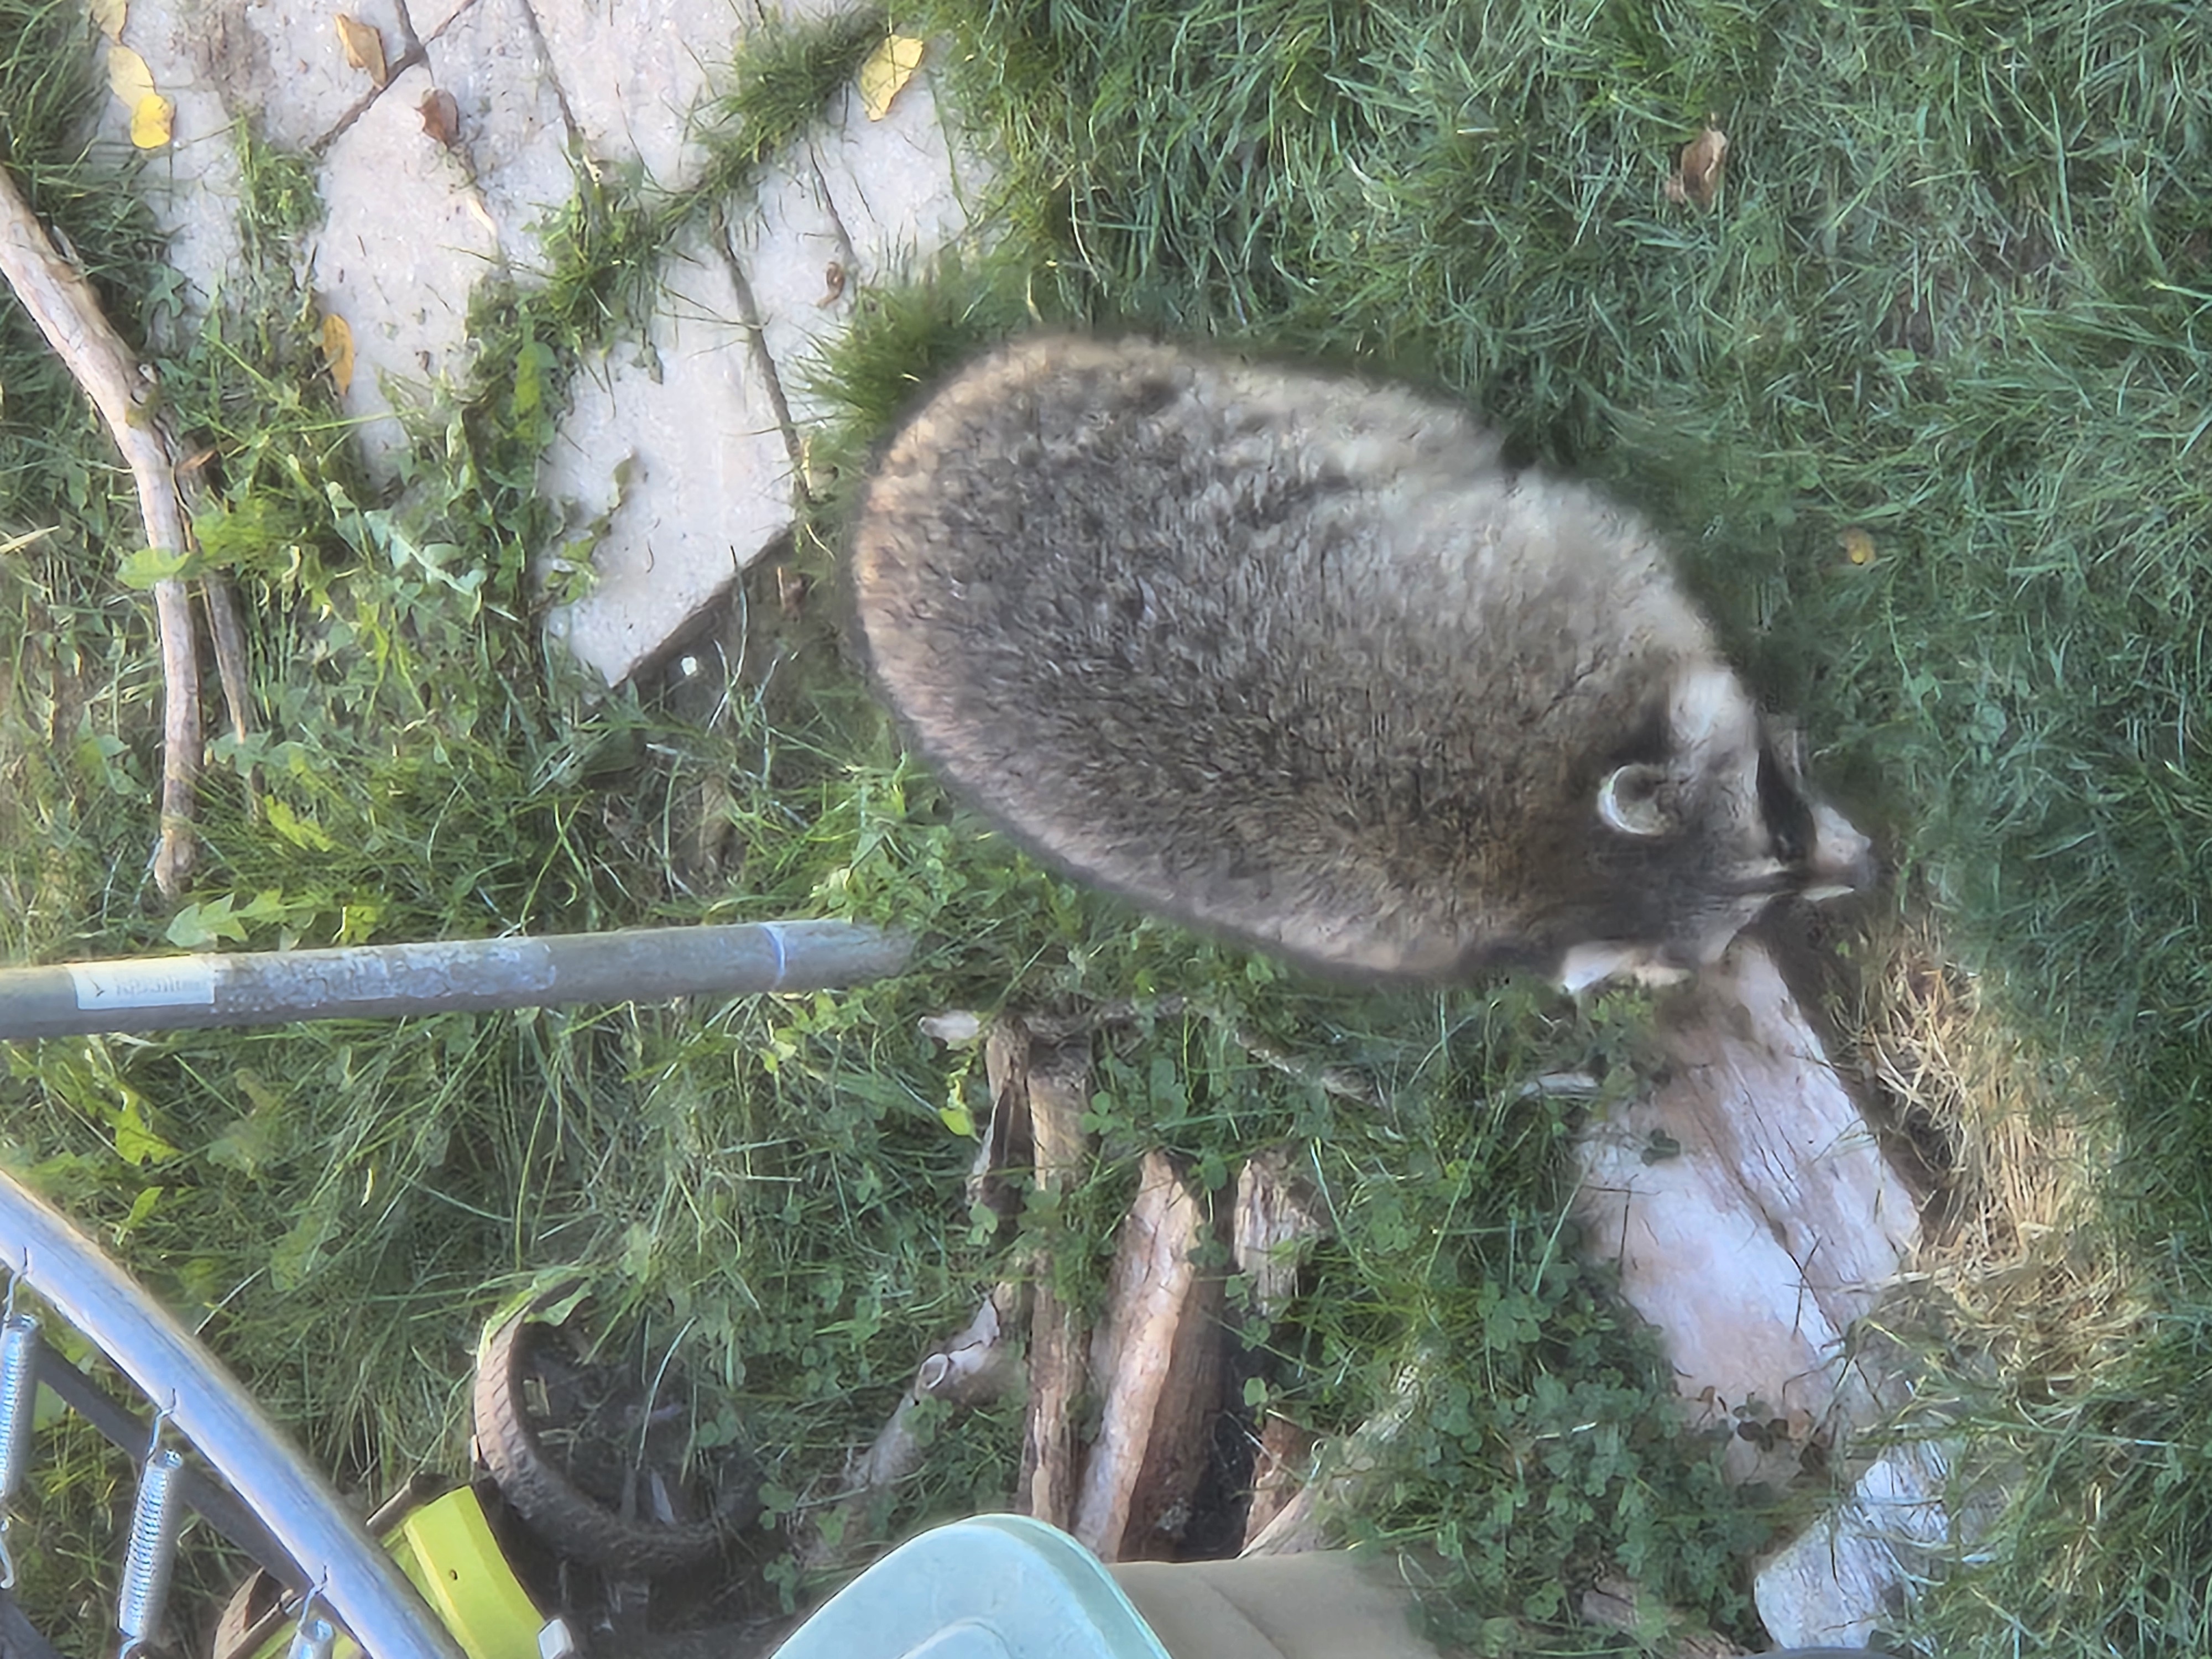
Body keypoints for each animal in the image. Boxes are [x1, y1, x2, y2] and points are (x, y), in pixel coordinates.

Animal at [847, 334, 1870, 990]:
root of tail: (883, 497)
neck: (1547, 837)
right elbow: (1598, 535)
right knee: (1371, 418)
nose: (1873, 873)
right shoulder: (1543, 580)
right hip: (1181, 398)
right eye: (1782, 835)